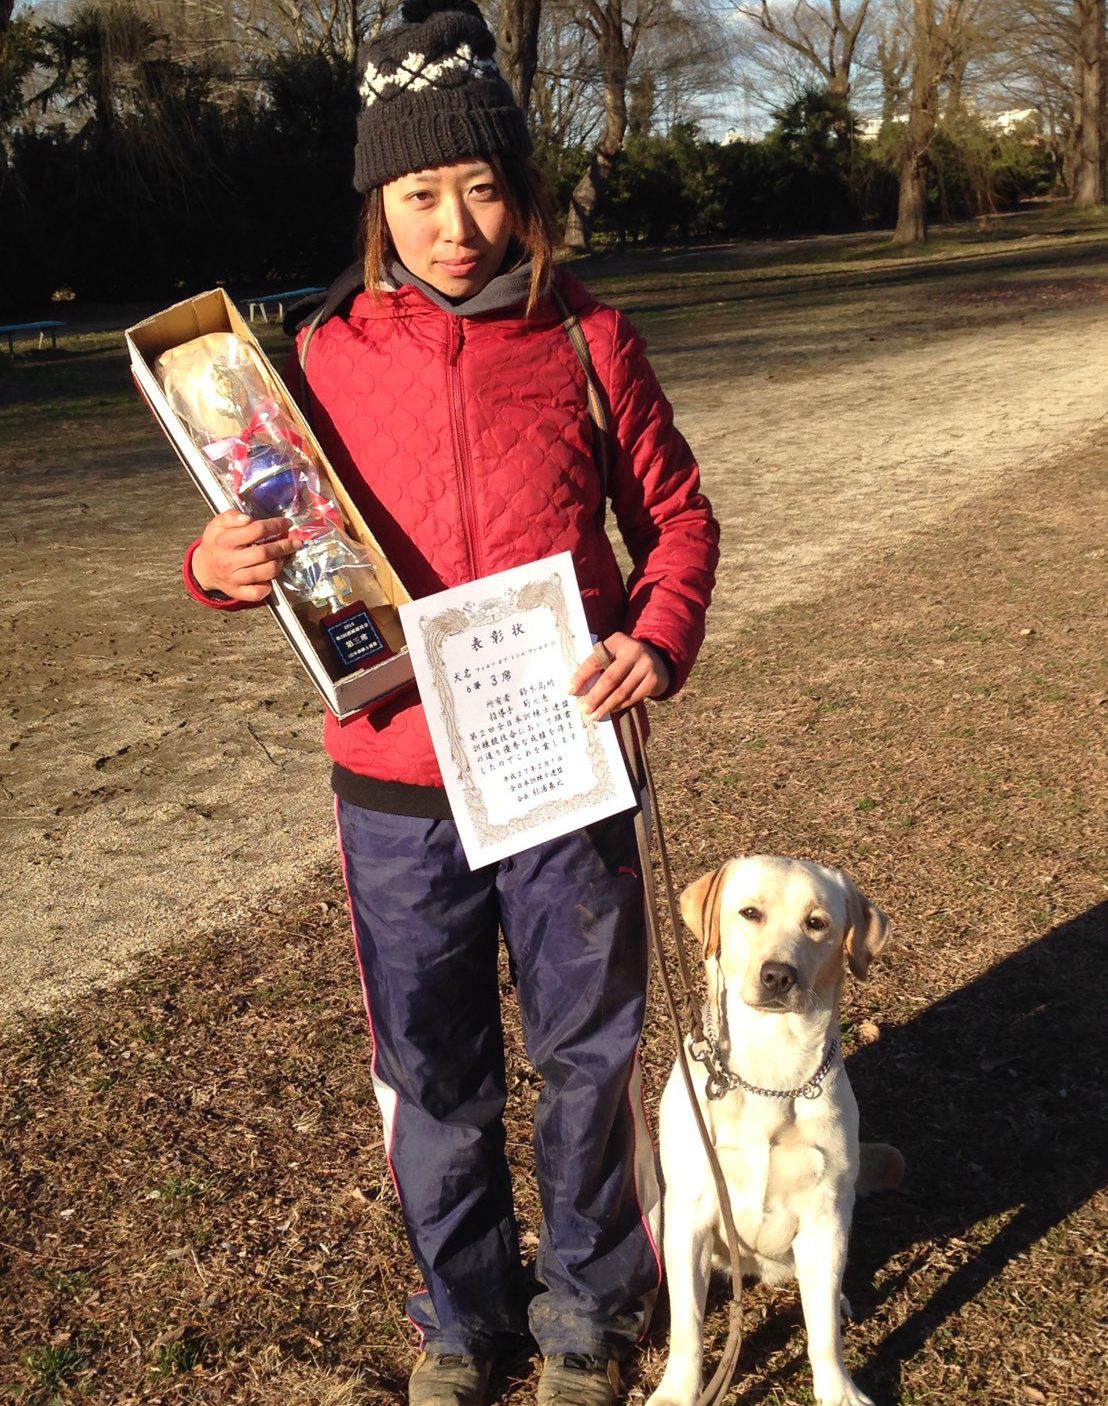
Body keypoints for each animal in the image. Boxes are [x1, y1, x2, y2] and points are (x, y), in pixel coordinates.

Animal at [649, 849, 899, 1406]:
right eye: (749, 913)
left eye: (817, 923)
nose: (778, 975)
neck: (770, 1074)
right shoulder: (691, 1211)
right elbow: (687, 1328)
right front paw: (677, 1391)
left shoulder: (826, 1215)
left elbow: (822, 1332)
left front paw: (839, 1390)